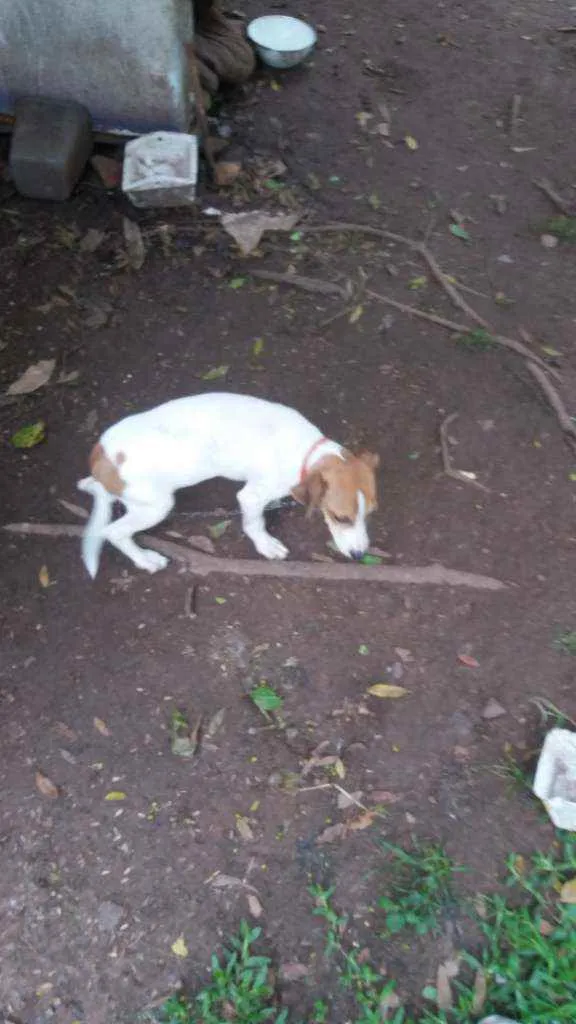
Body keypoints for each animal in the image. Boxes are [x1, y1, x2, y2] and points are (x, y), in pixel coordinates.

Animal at [77, 391, 381, 581]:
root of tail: (101, 454)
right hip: (157, 506)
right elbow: (254, 524)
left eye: (370, 514)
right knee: (113, 532)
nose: (359, 556)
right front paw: (266, 545)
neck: (306, 451)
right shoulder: (250, 496)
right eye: (340, 517)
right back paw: (145, 560)